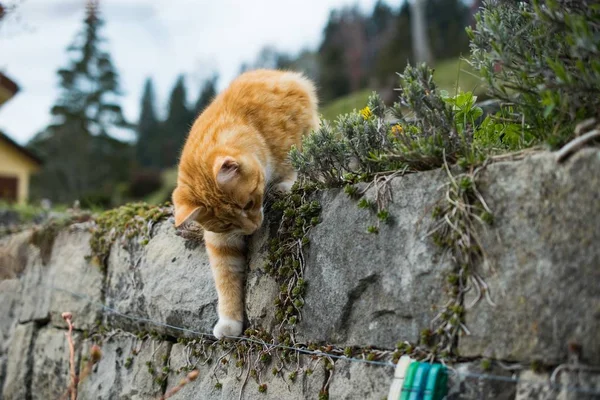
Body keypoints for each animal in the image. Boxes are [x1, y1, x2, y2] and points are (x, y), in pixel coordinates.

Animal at [171, 69, 318, 338]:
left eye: (249, 203)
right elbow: (225, 278)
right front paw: (229, 321)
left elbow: (292, 162)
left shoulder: (288, 137)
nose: (253, 229)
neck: (251, 129)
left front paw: (286, 184)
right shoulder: (221, 242)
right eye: (227, 225)